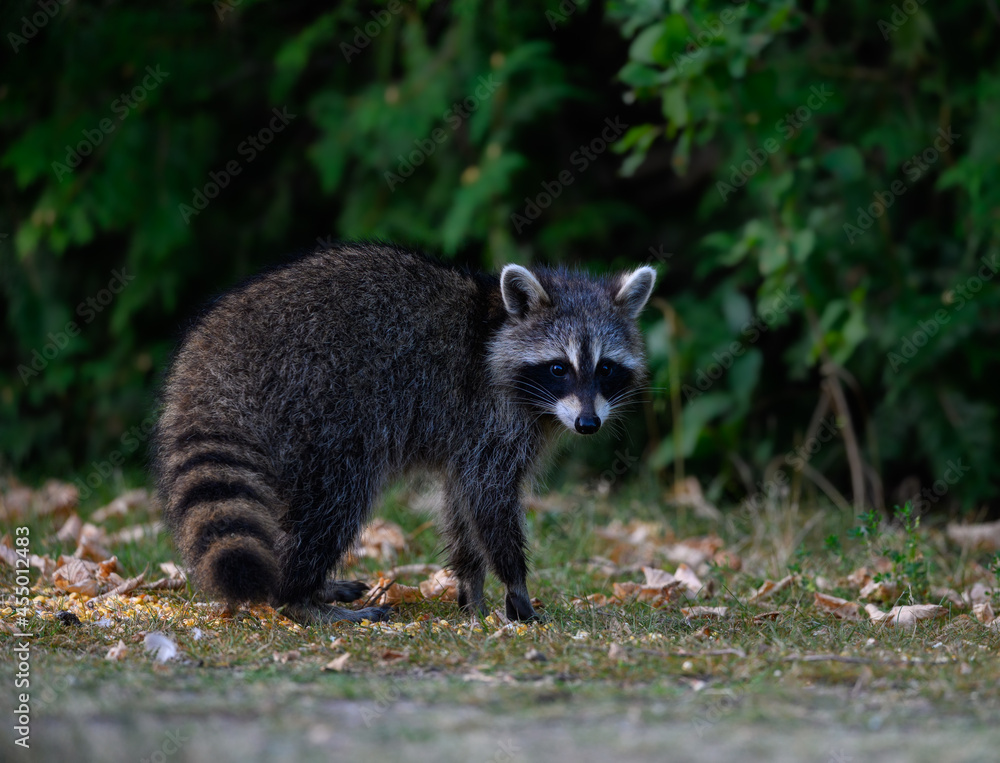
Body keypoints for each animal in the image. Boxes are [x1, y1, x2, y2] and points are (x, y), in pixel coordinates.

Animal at [152, 242, 655, 624]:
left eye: (605, 369)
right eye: (558, 368)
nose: (588, 424)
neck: (496, 327)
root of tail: (215, 356)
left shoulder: (468, 435)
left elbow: (461, 504)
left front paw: (471, 591)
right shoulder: (490, 417)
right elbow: (489, 501)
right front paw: (517, 587)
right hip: (321, 406)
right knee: (336, 500)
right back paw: (297, 597)